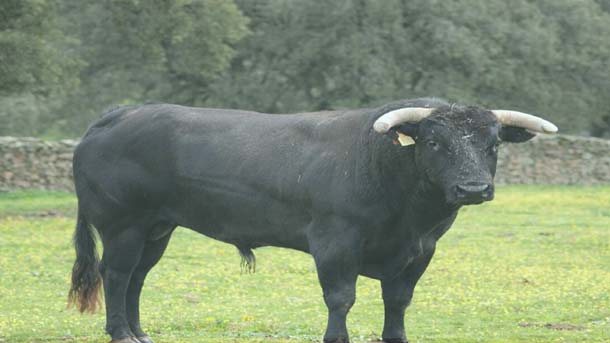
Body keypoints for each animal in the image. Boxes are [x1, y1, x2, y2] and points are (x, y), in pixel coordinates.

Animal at [71, 97, 548, 343]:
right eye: (433, 142)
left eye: (493, 145)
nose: (473, 188)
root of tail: (116, 116)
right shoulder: (335, 242)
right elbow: (340, 298)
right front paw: (336, 338)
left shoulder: (420, 251)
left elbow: (398, 301)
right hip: (123, 225)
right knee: (117, 274)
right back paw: (121, 334)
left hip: (157, 228)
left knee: (137, 278)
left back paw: (140, 333)